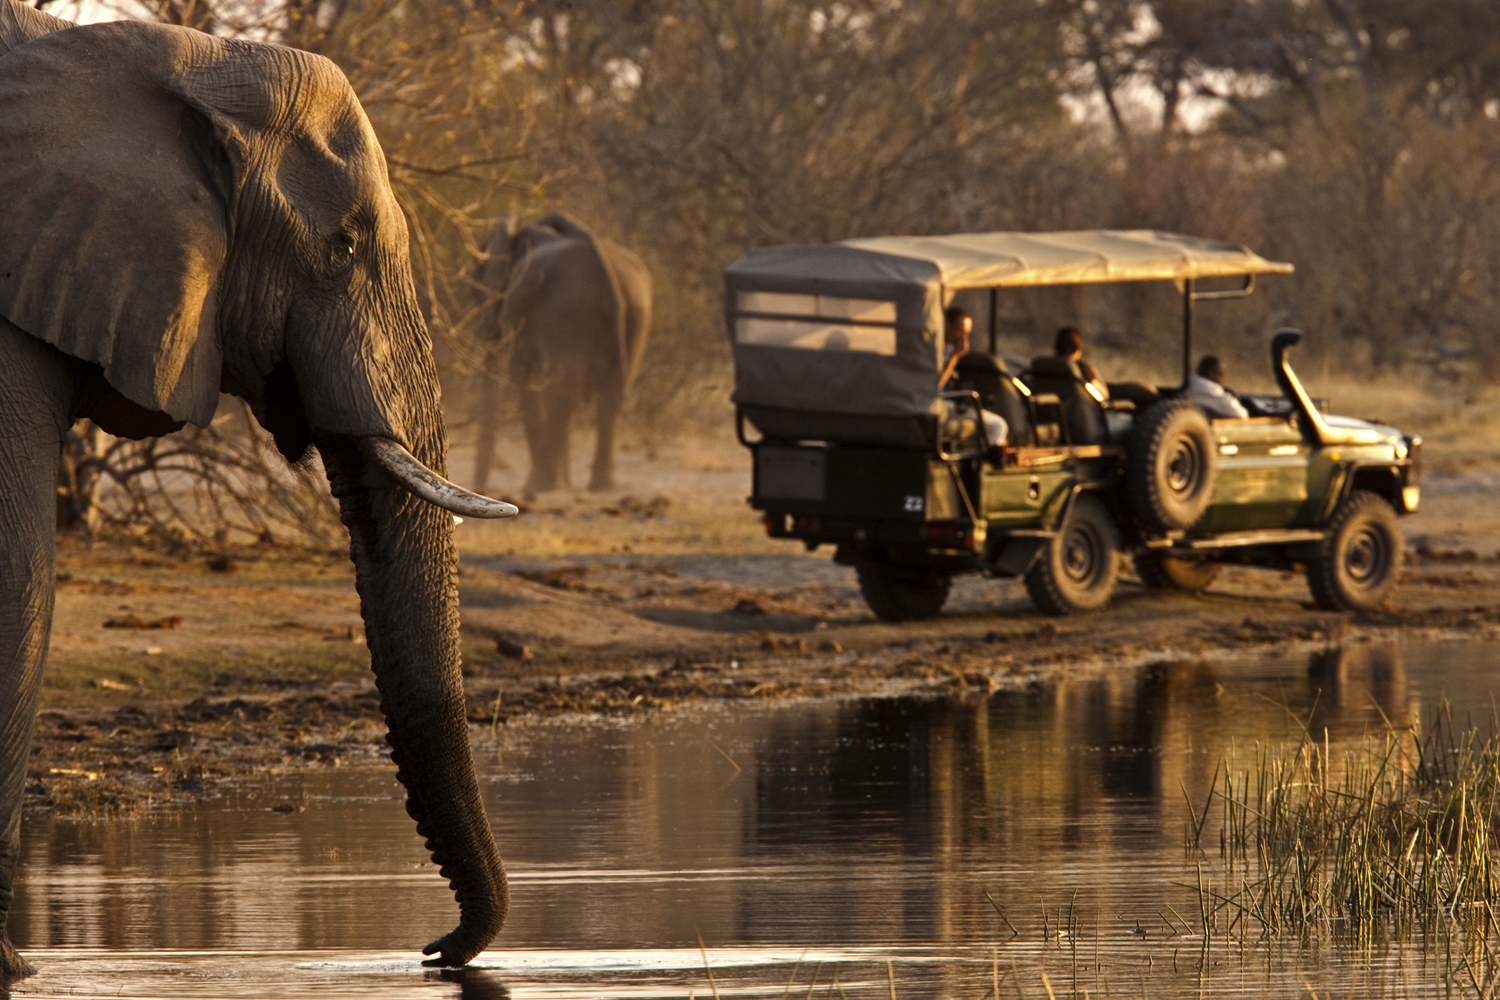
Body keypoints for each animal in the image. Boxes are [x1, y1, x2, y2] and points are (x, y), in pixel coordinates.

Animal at [474, 209, 651, 497]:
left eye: (478, 293)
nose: (481, 488)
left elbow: (524, 380)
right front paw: (564, 484)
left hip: (565, 311)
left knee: (559, 393)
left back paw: (539, 486)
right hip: (637, 311)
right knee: (611, 395)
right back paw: (600, 487)